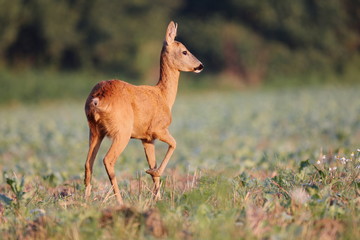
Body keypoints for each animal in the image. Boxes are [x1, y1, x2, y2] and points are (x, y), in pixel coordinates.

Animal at [83, 21, 202, 204]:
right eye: (184, 51)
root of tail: (96, 100)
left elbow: (153, 163)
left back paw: (85, 201)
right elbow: (174, 144)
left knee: (88, 163)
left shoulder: (146, 139)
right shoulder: (158, 129)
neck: (164, 96)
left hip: (95, 130)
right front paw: (154, 175)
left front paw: (157, 197)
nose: (200, 65)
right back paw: (120, 201)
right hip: (122, 131)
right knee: (108, 160)